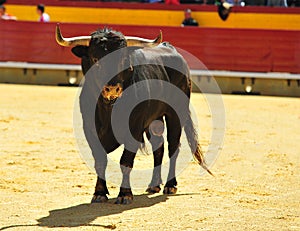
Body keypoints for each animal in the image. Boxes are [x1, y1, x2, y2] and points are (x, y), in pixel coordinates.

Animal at [56, 26, 211, 204]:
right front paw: (99, 193)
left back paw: (170, 185)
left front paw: (124, 194)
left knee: (173, 147)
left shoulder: (134, 128)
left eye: (123, 60)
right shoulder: (90, 130)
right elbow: (100, 161)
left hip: (176, 113)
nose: (112, 89)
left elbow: (126, 161)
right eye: (95, 59)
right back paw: (154, 185)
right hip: (154, 119)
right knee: (159, 146)